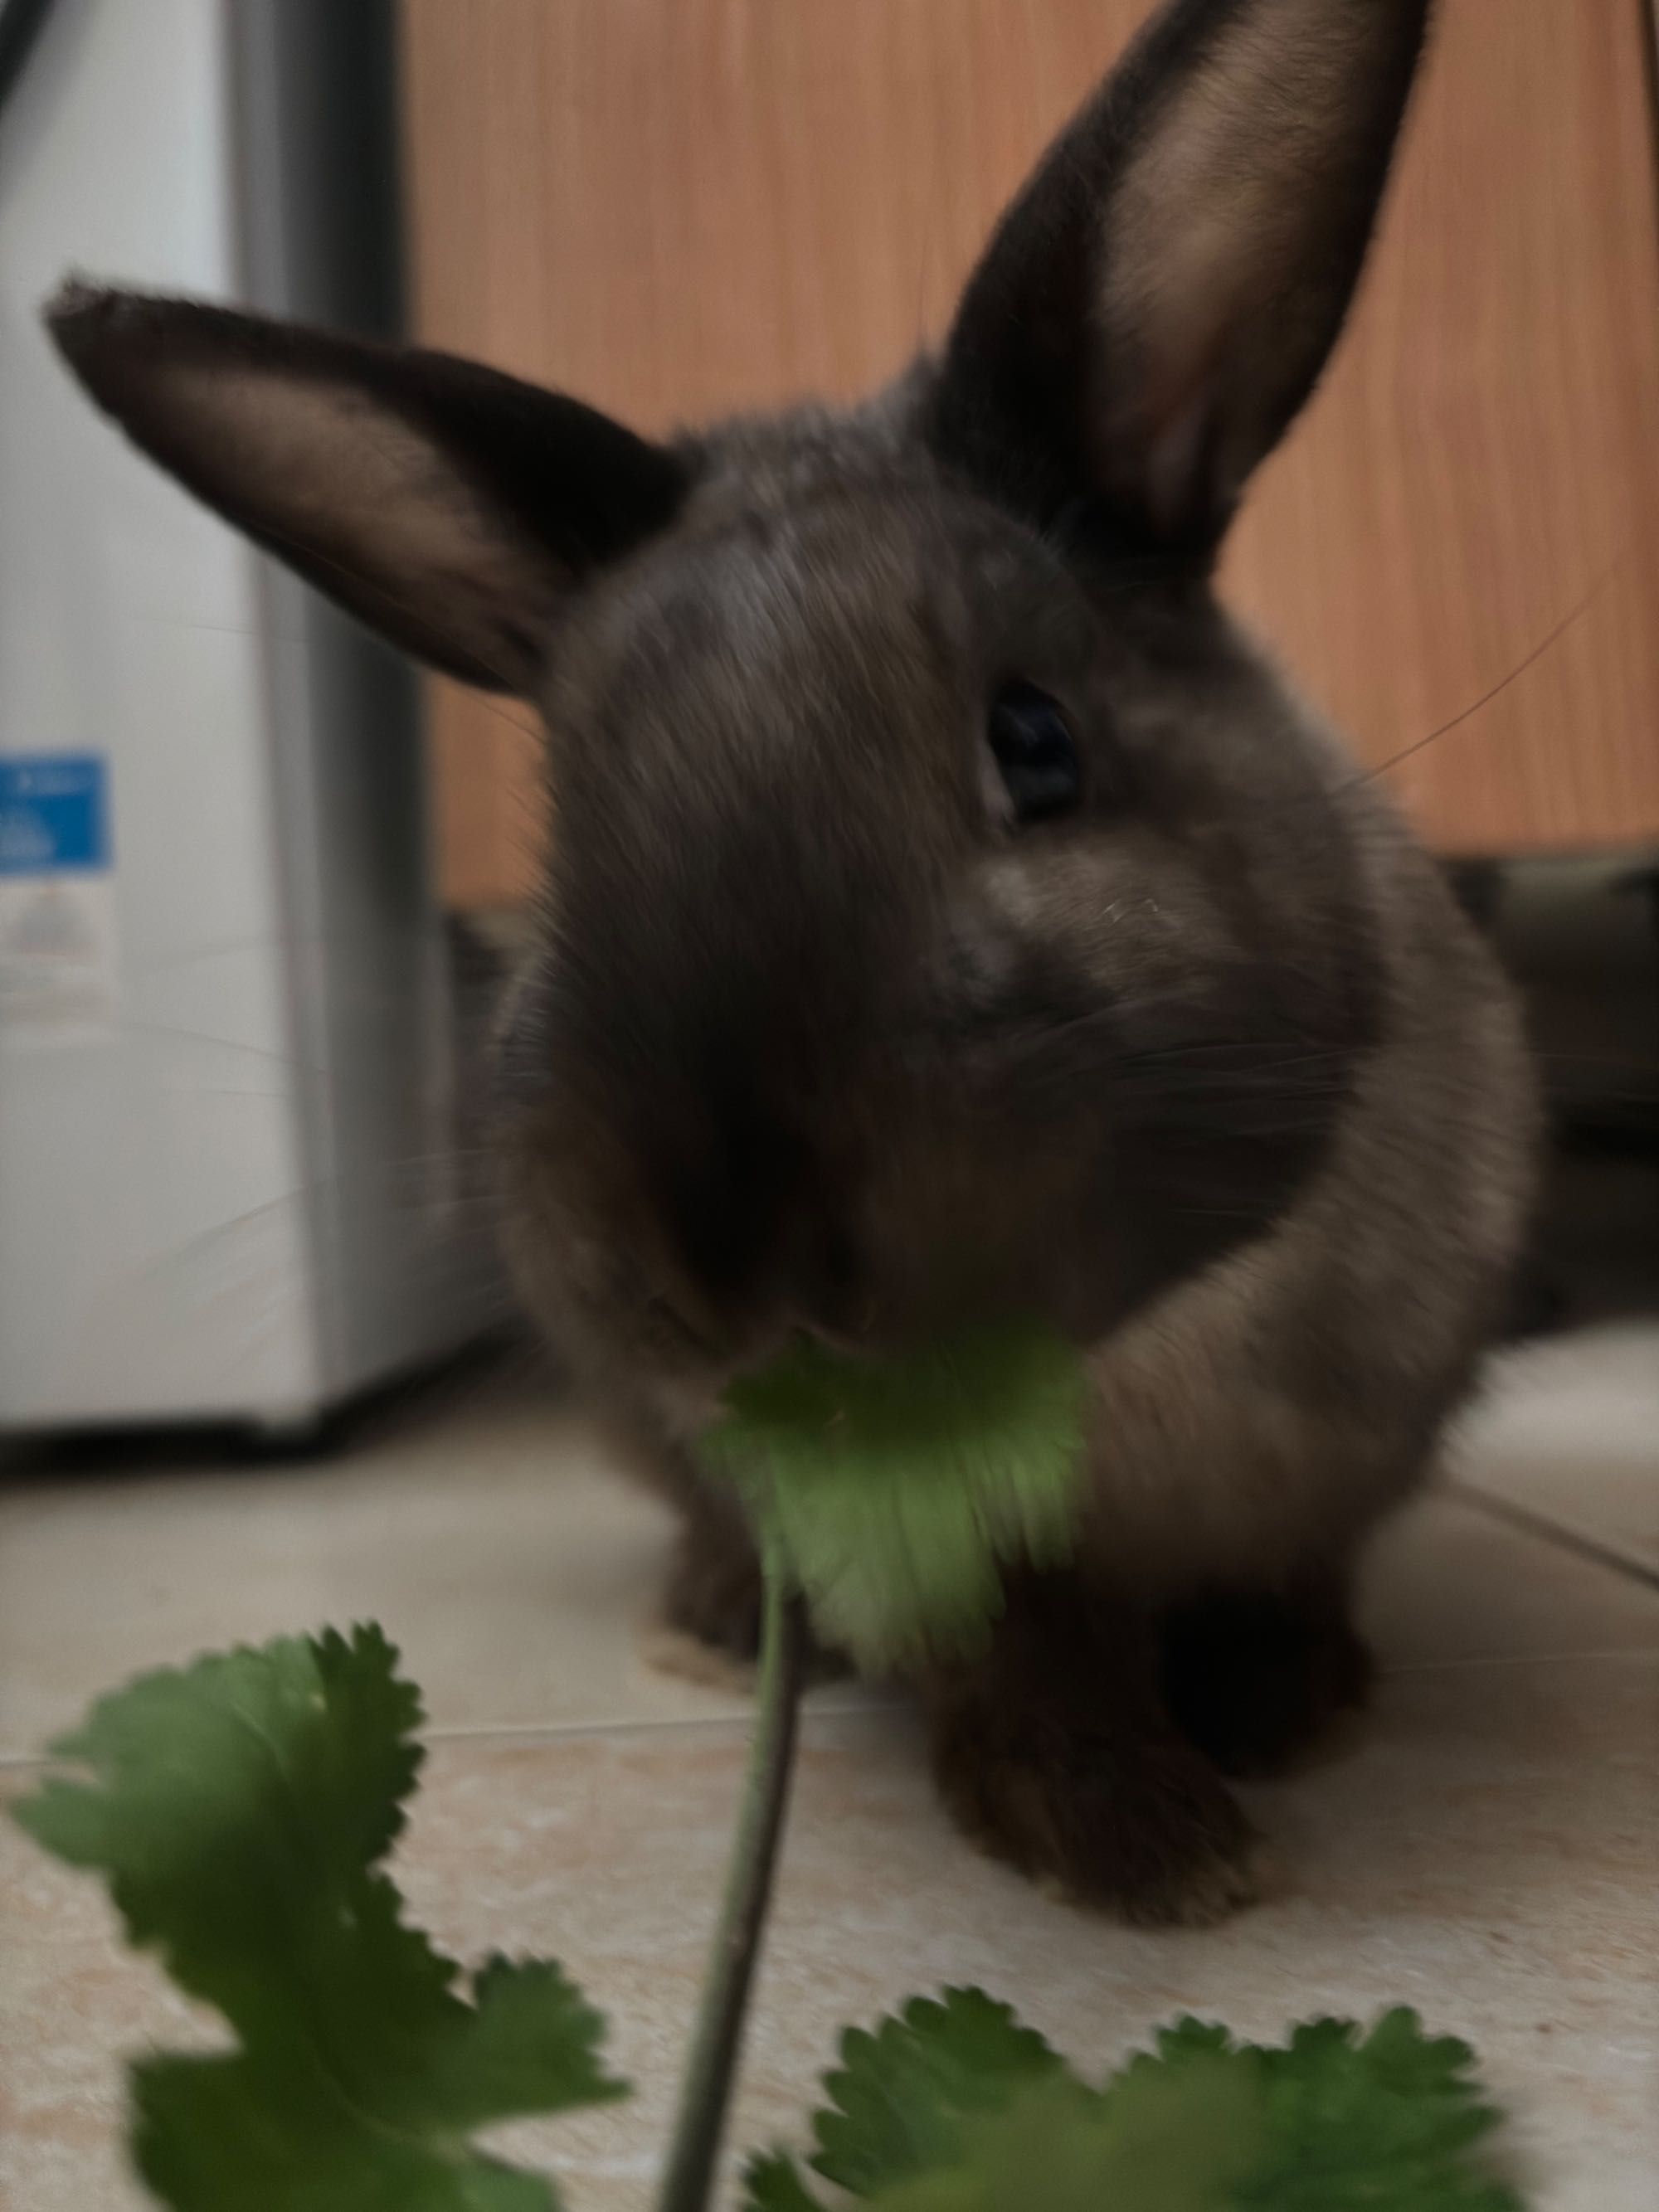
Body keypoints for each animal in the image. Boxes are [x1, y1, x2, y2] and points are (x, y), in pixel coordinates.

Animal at [45, 0, 1540, 1919]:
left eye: (1037, 740)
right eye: (567, 840)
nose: (726, 1261)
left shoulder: (1356, 1447)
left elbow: (1294, 1576)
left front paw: (1287, 1711)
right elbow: (1013, 1656)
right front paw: (1137, 1842)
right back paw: (706, 1627)